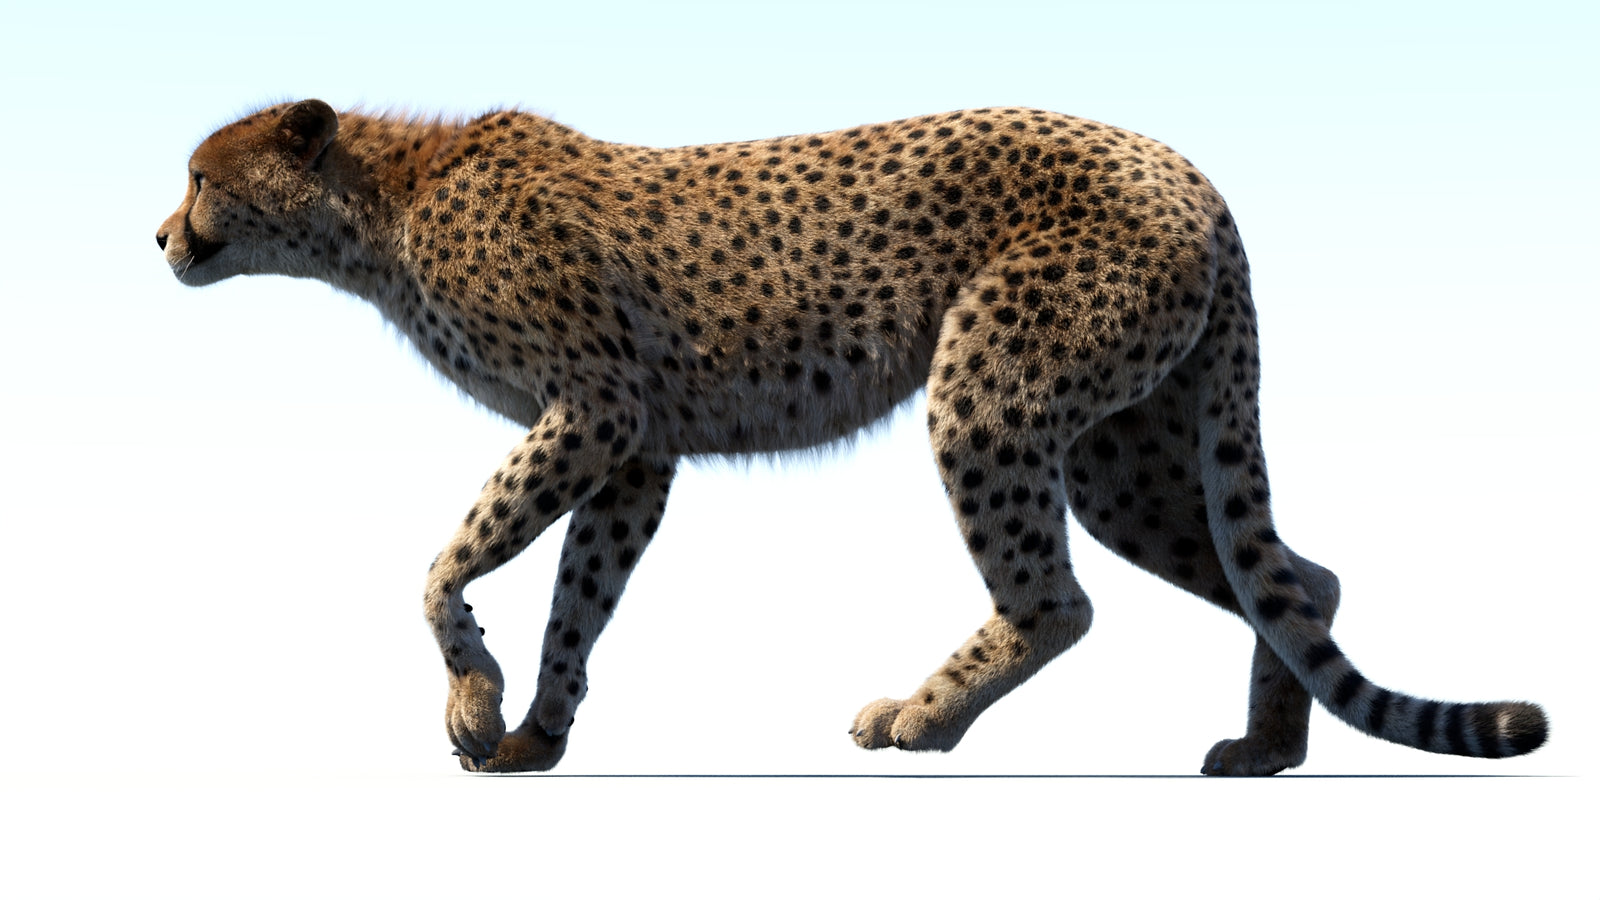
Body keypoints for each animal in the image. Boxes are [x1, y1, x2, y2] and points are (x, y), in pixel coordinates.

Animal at [157, 99, 1547, 774]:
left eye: (202, 176)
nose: (162, 236)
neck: (381, 207)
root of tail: (1185, 169)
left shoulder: (596, 407)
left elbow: (445, 563)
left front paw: (472, 700)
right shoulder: (637, 447)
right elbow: (575, 598)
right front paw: (536, 735)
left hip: (989, 385)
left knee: (1057, 600)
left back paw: (919, 721)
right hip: (1124, 449)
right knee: (1297, 579)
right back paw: (1267, 749)